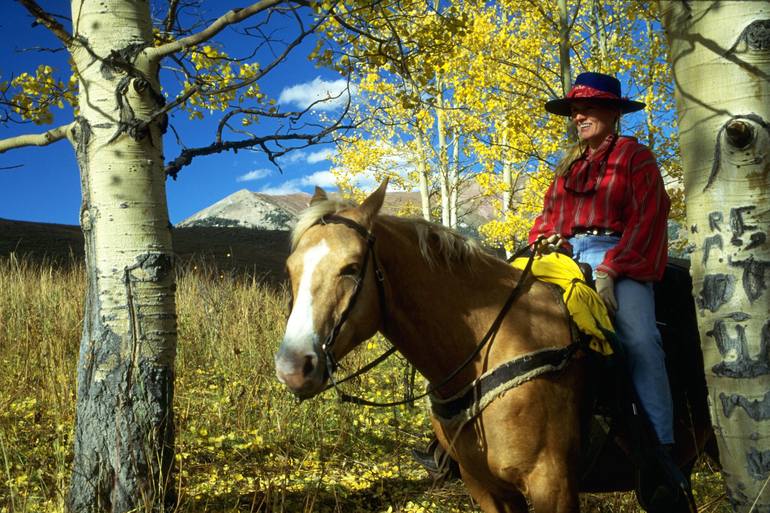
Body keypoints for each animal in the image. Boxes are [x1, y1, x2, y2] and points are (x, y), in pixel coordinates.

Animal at [272, 182, 712, 510]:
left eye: (350, 268)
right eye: (290, 269)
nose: (294, 367)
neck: (492, 347)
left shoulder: (552, 483)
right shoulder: (485, 488)